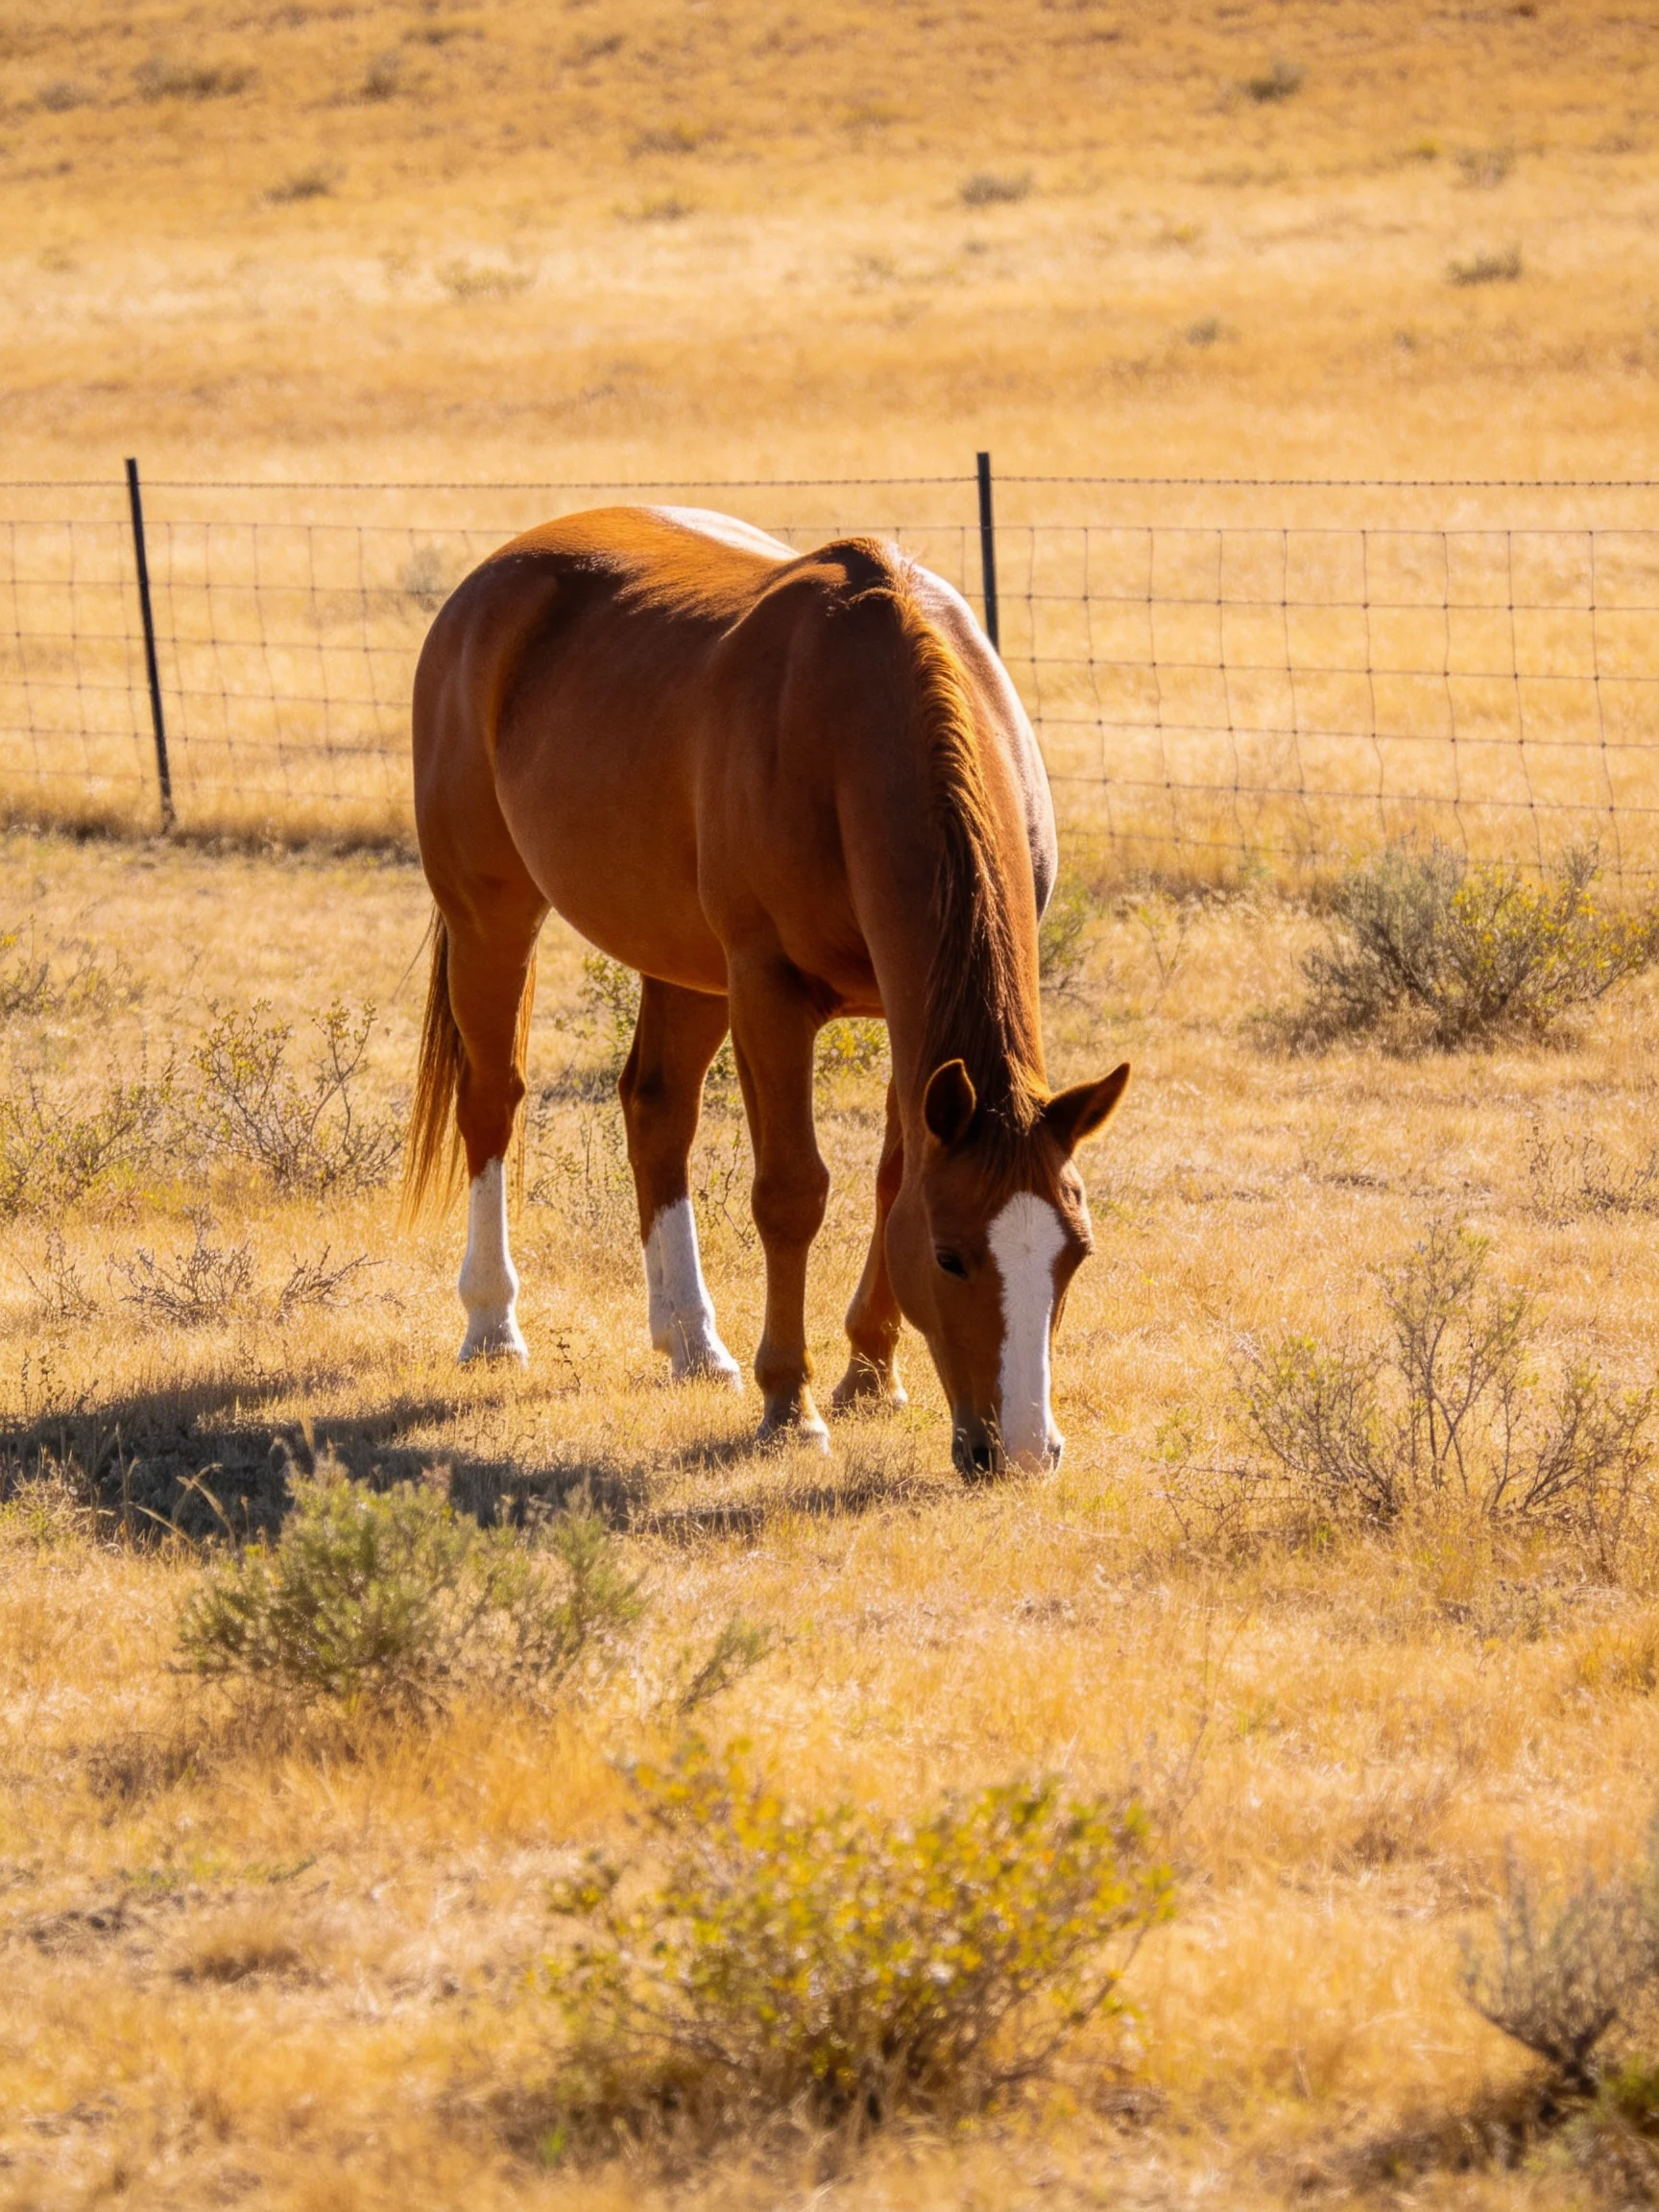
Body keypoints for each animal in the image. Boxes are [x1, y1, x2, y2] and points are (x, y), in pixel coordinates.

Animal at [402, 506, 1128, 1476]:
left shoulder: (906, 1022)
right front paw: (792, 1402)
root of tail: (493, 579)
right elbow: (792, 1193)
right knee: (492, 1102)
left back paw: (691, 1342)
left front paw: (870, 1374)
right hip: (492, 914)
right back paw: (492, 1325)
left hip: (686, 963)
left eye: (1074, 1255)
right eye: (949, 1258)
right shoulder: (770, 995)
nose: (1016, 1451)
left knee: (657, 1110)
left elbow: (892, 1178)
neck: (861, 724)